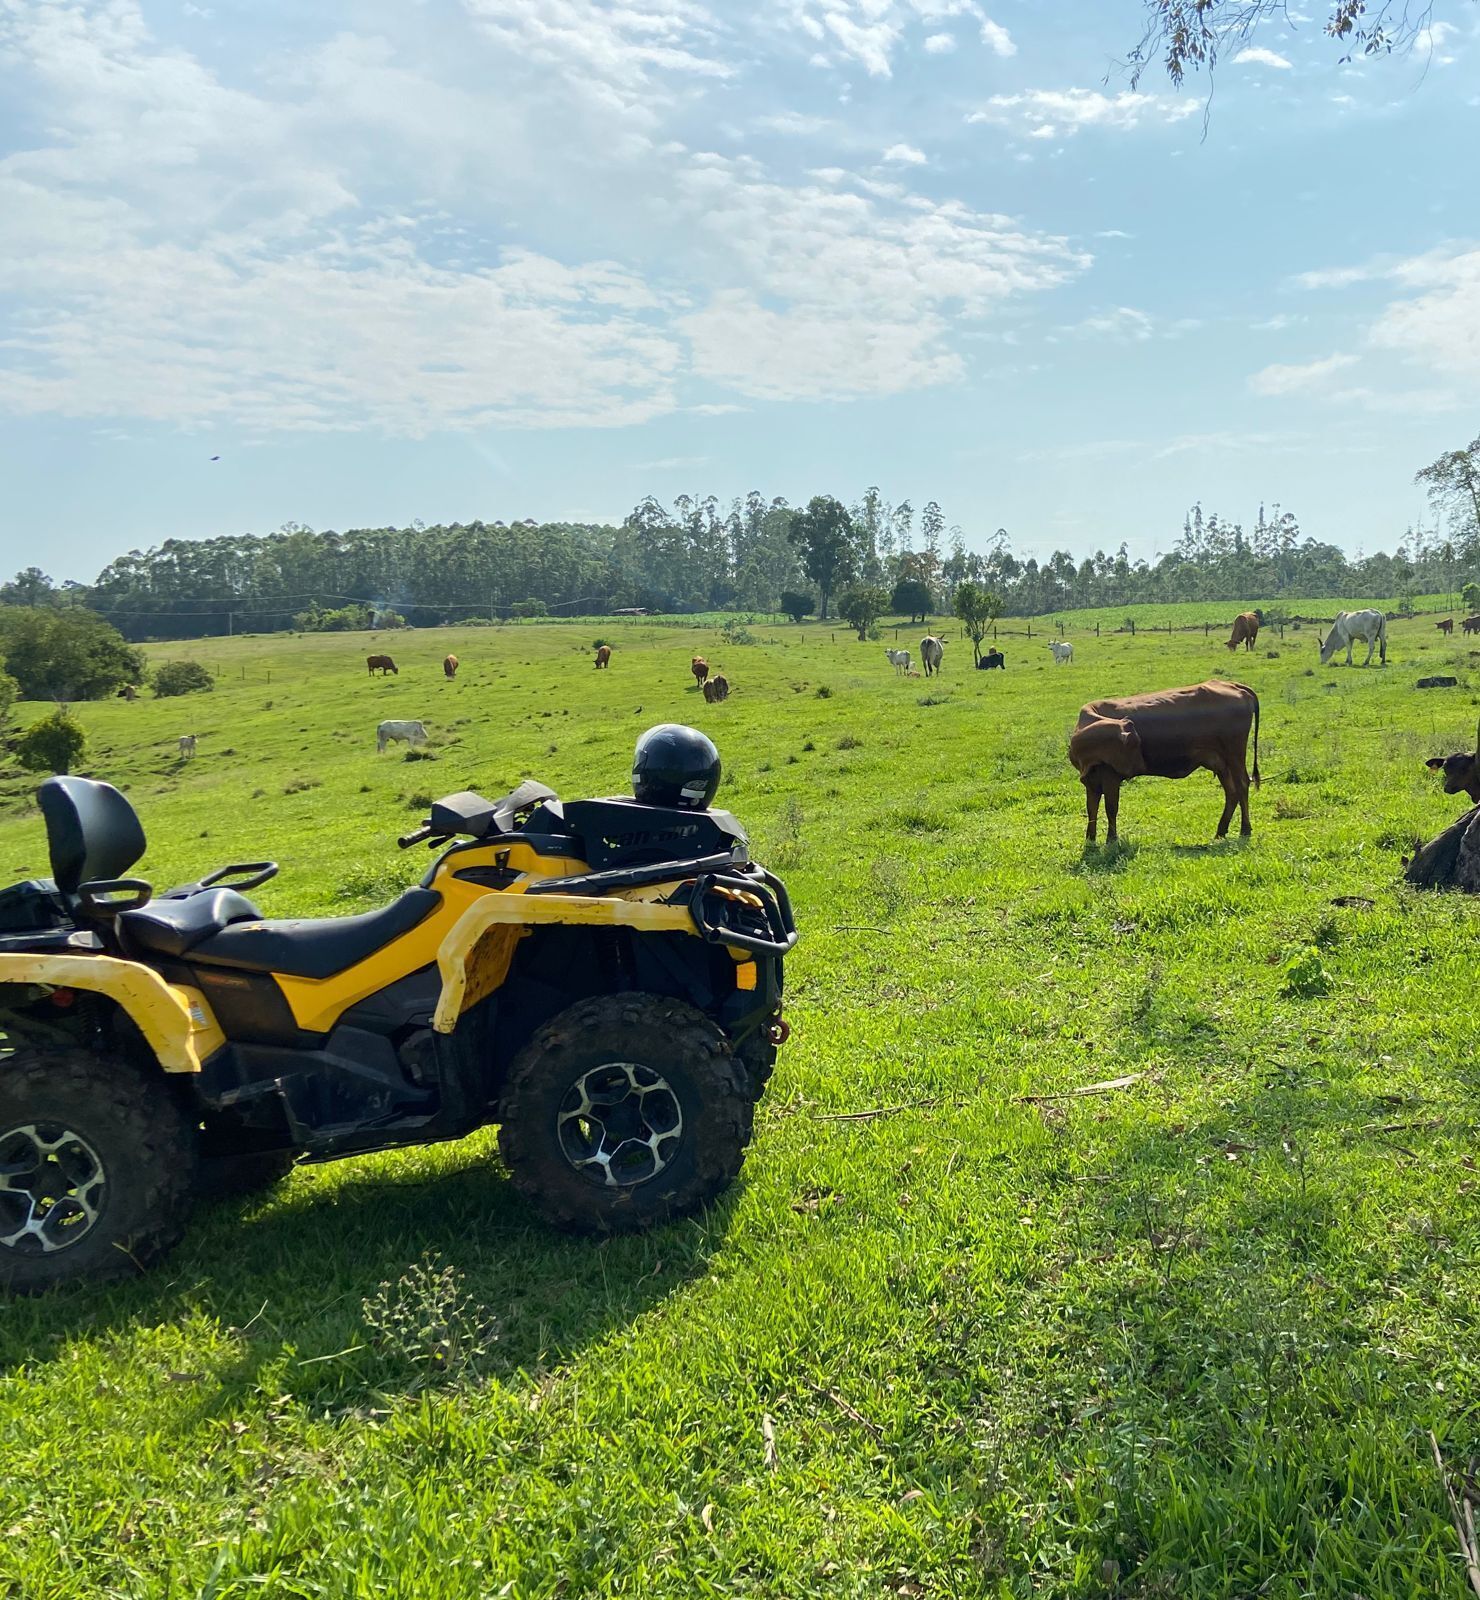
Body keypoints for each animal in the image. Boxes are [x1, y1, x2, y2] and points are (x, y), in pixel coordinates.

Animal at [1068, 680, 1261, 844]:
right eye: (1134, 741)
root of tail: (1233, 685)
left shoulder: (1111, 777)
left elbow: (1111, 807)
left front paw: (1111, 839)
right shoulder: (1091, 781)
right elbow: (1092, 809)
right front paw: (1090, 839)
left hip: (1234, 755)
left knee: (1242, 785)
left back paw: (1245, 829)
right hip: (1221, 762)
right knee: (1232, 792)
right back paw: (1221, 830)